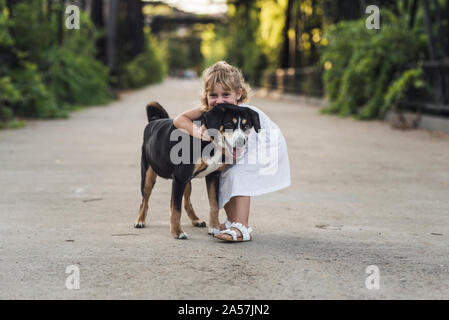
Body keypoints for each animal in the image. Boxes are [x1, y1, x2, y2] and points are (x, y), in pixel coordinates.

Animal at [134, 101, 260, 239]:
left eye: (246, 125)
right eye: (228, 124)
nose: (241, 142)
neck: (210, 140)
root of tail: (155, 120)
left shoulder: (213, 176)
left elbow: (214, 204)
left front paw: (214, 228)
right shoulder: (179, 178)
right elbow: (176, 209)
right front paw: (177, 232)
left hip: (187, 182)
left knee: (187, 202)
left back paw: (196, 220)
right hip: (148, 176)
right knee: (144, 200)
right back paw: (140, 220)